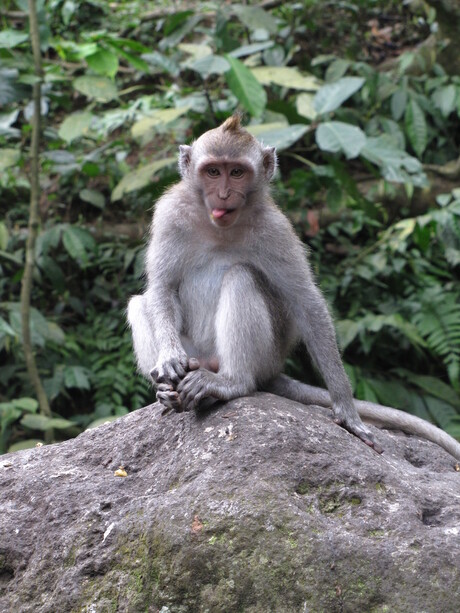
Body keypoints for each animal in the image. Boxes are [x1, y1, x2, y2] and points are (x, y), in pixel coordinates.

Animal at [127, 113, 460, 460]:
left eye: (237, 172)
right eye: (213, 171)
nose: (223, 195)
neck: (218, 226)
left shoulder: (276, 229)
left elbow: (305, 301)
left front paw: (347, 411)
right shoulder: (170, 215)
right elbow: (162, 289)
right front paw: (168, 359)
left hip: (265, 357)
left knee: (241, 278)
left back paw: (230, 383)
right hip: (197, 353)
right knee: (140, 302)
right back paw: (169, 393)